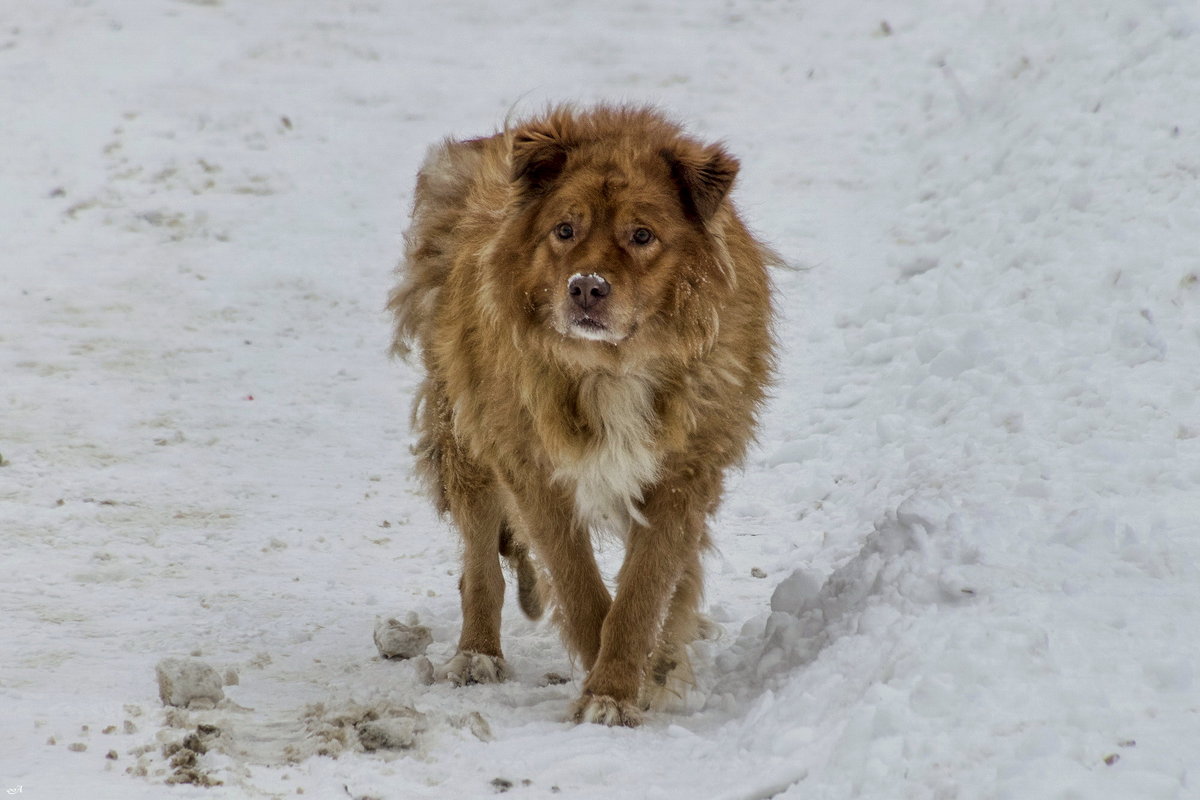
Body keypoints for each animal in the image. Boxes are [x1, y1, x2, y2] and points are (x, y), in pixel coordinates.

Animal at [388, 104, 772, 724]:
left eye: (642, 236)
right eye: (565, 230)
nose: (587, 287)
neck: (609, 368)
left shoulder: (682, 476)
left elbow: (643, 591)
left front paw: (625, 681)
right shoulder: (534, 472)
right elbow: (582, 590)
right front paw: (606, 692)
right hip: (466, 438)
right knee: (480, 566)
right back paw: (476, 655)